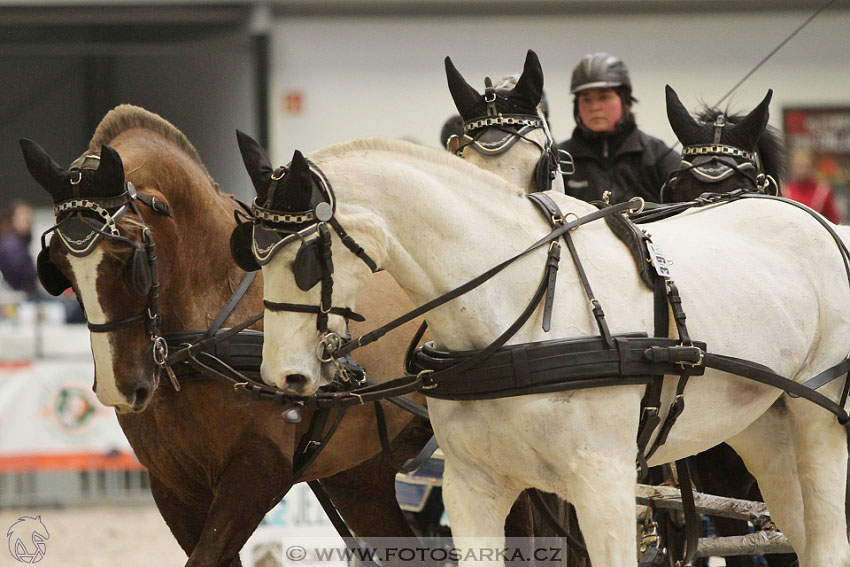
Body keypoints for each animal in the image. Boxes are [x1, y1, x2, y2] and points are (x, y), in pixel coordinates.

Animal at [21, 104, 430, 564]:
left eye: (130, 257)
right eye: (58, 265)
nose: (119, 388)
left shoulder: (258, 471)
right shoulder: (172, 487)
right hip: (361, 476)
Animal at [252, 138, 848, 567]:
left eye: (307, 258)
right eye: (250, 254)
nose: (284, 375)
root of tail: (823, 222)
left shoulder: (605, 483)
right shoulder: (472, 487)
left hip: (817, 415)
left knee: (828, 543)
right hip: (763, 427)